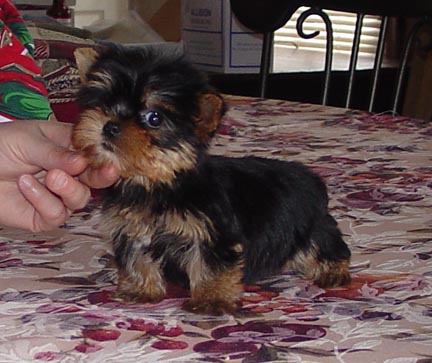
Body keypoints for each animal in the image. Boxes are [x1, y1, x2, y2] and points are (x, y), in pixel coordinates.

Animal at [72, 46, 352, 316]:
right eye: (103, 103)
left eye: (154, 118)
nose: (110, 126)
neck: (156, 182)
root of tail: (312, 178)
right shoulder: (133, 230)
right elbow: (137, 260)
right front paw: (140, 290)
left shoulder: (212, 235)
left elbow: (210, 266)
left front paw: (211, 299)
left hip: (311, 227)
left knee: (326, 247)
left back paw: (333, 271)